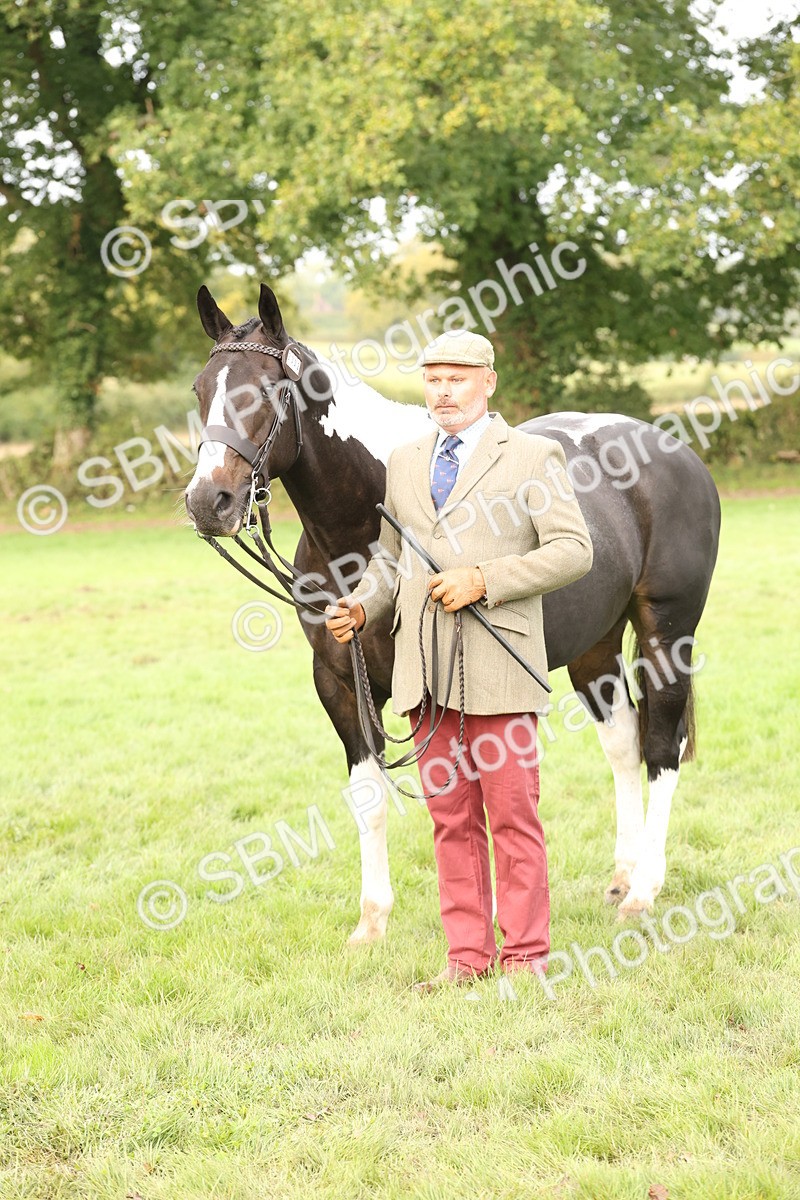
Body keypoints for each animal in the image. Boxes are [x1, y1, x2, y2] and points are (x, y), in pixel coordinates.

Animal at [185, 282, 721, 944]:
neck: (361, 531)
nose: (208, 501)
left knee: (661, 747)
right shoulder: (339, 683)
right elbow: (370, 797)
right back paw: (623, 877)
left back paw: (643, 892)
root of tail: (678, 452)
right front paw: (373, 922)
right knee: (623, 743)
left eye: (264, 391)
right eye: (200, 390)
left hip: (667, 633)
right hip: (595, 646)